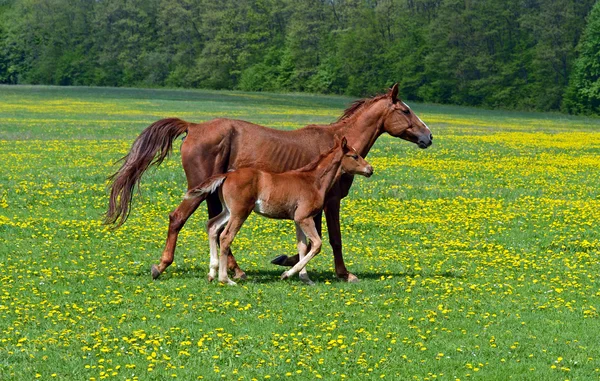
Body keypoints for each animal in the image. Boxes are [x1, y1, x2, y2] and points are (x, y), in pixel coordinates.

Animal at [189, 137, 376, 284]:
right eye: (354, 156)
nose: (370, 169)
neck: (313, 181)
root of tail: (227, 175)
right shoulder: (304, 217)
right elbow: (316, 245)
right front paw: (287, 274)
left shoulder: (297, 220)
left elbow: (302, 246)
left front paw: (305, 278)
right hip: (240, 212)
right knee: (225, 237)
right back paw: (225, 279)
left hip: (229, 211)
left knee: (212, 226)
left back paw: (211, 273)